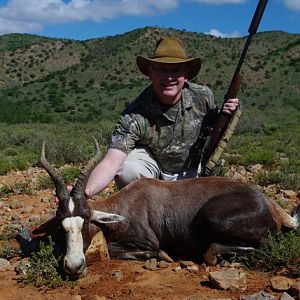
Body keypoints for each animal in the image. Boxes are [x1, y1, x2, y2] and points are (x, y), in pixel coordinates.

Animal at [31, 139, 298, 278]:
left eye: (85, 220)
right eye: (61, 225)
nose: (74, 266)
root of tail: (271, 206)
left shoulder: (147, 242)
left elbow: (120, 249)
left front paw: (164, 255)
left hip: (213, 218)